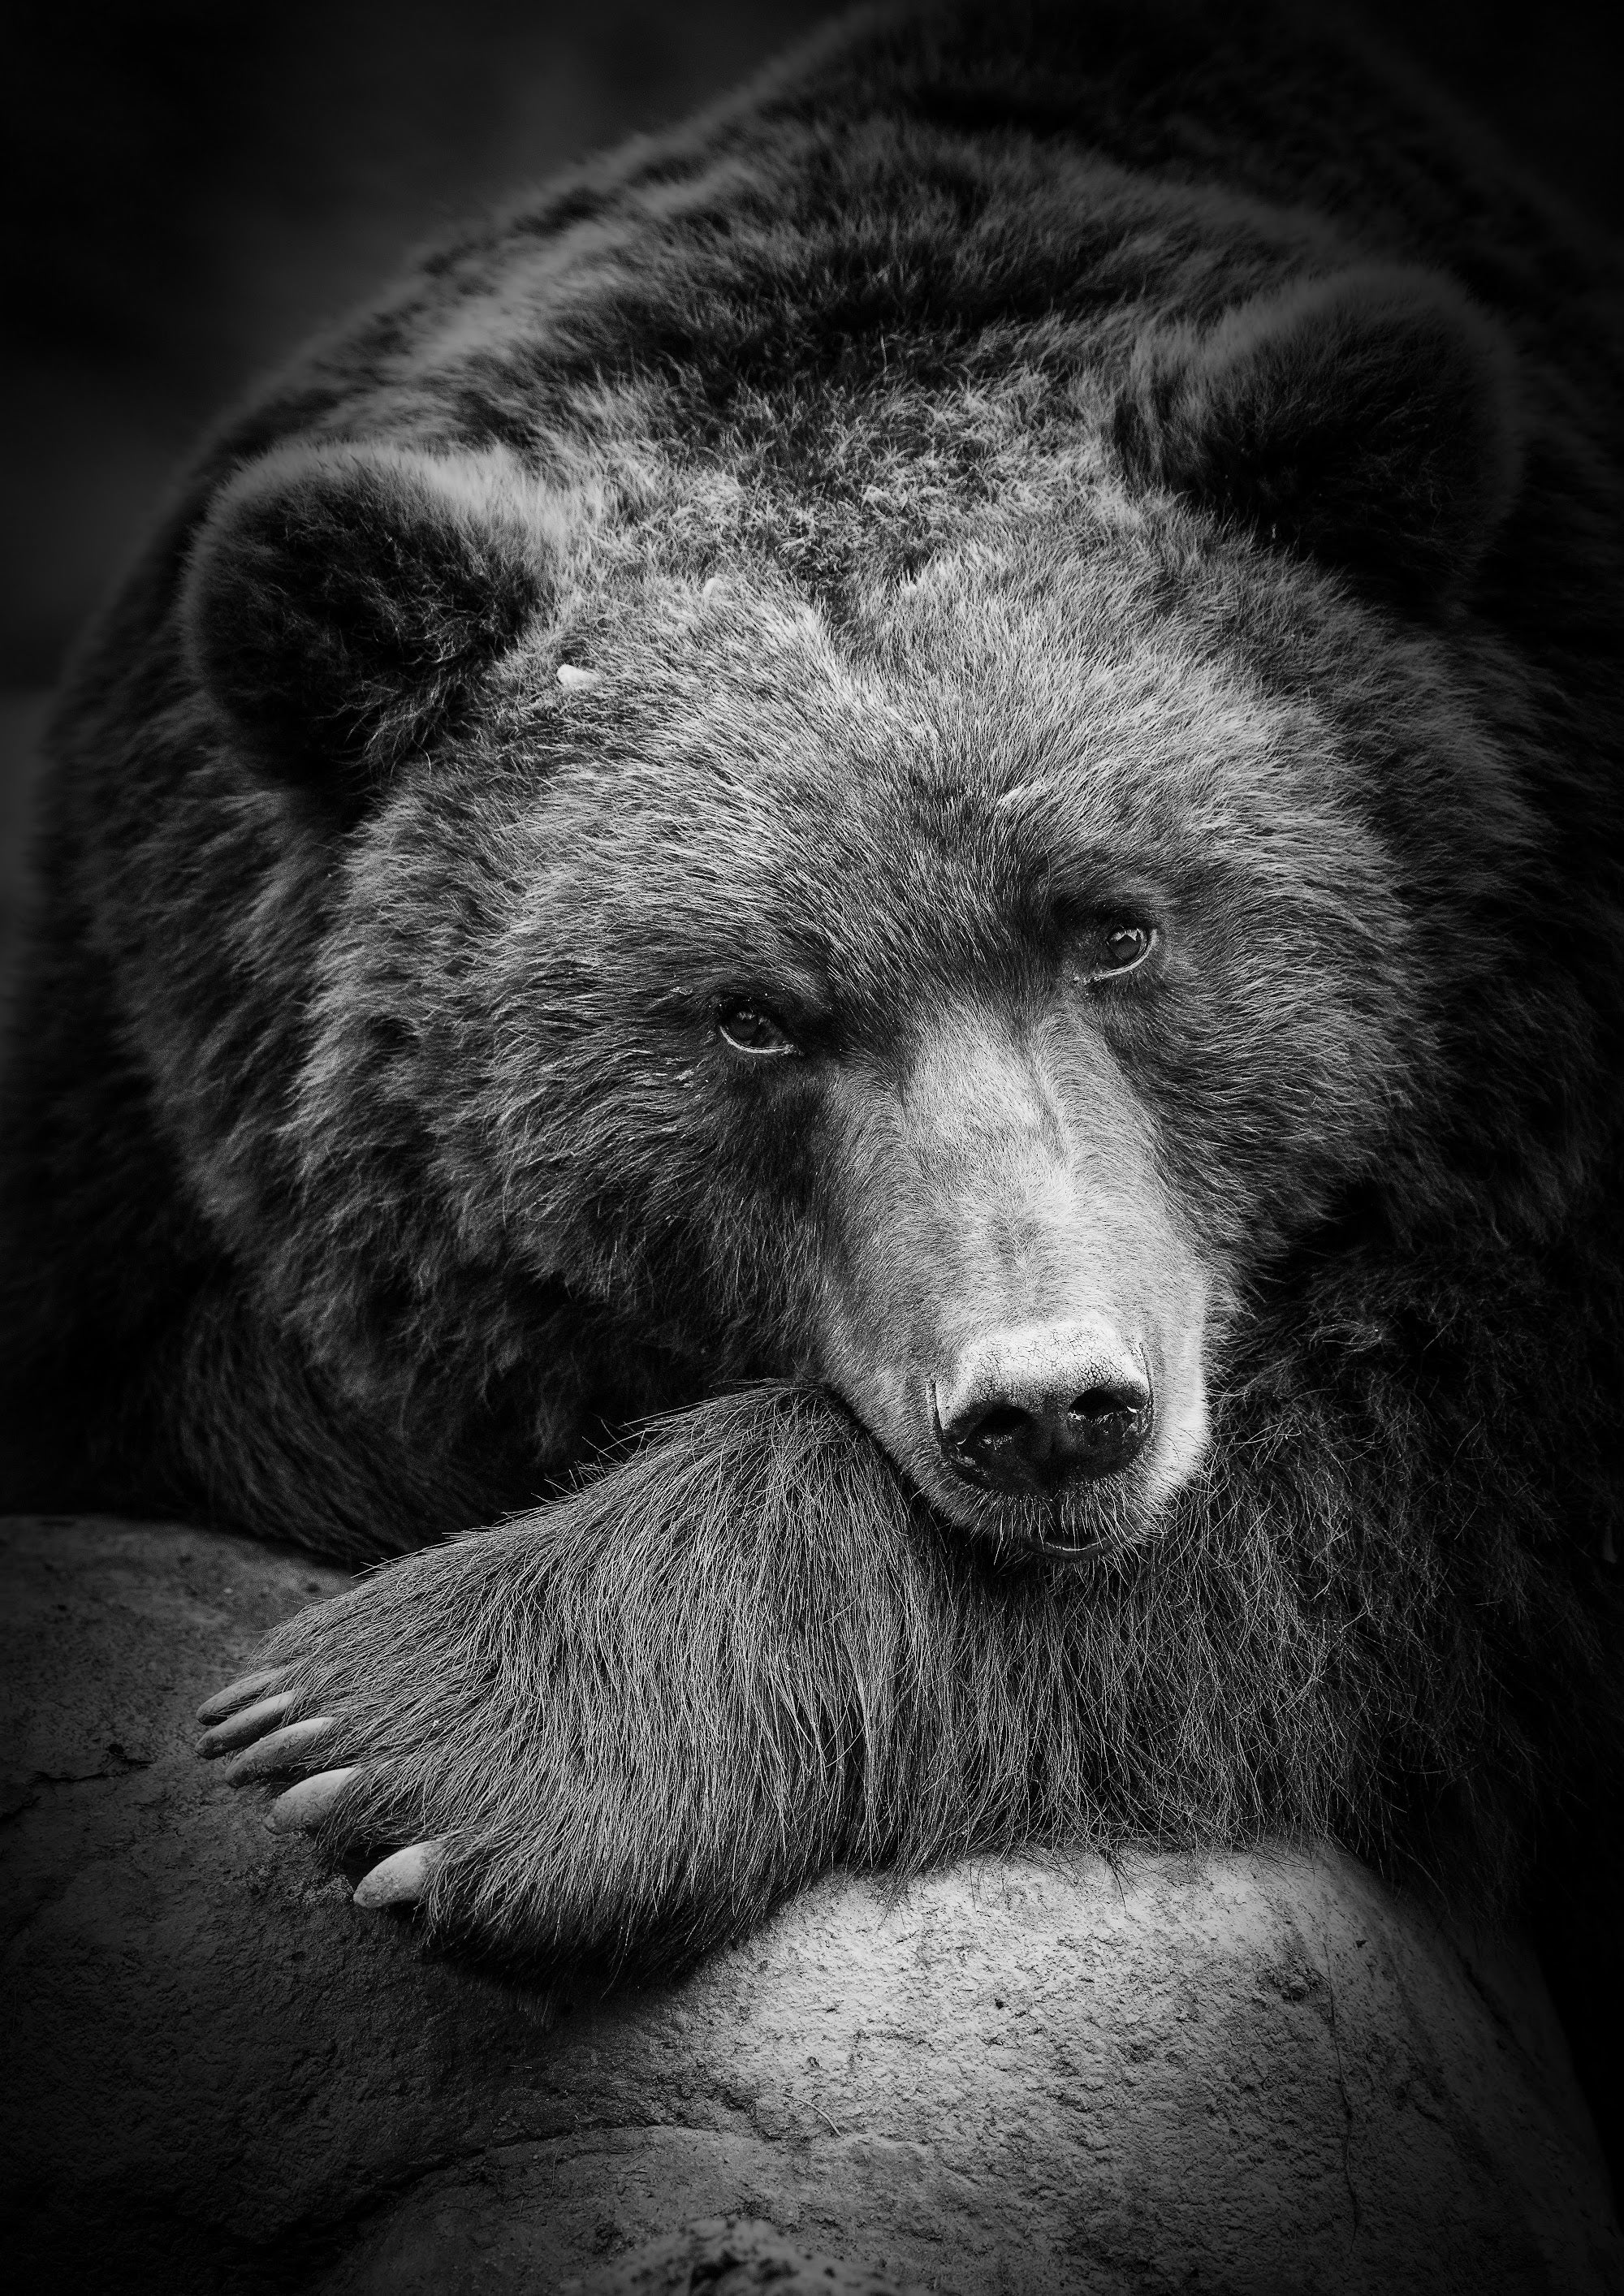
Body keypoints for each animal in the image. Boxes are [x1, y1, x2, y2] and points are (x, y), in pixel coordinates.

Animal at [2, 0, 1622, 2155]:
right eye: (751, 1014)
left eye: (1115, 925)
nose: (1049, 1412)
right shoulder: (136, 1091)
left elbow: (1405, 1462)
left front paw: (415, 1732)